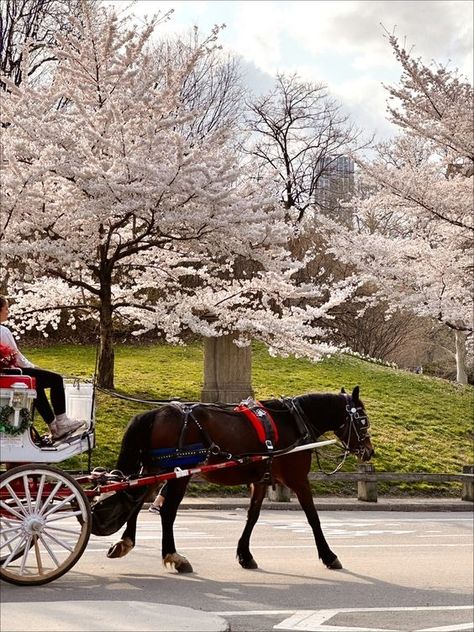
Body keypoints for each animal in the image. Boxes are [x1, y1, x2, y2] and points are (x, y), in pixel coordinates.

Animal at [106, 386, 374, 572]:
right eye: (363, 421)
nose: (369, 452)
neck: (294, 421)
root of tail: (157, 412)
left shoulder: (261, 481)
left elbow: (252, 517)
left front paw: (245, 554)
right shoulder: (298, 480)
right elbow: (313, 517)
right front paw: (329, 555)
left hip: (153, 470)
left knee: (136, 502)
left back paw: (126, 542)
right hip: (178, 474)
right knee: (167, 511)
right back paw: (174, 556)